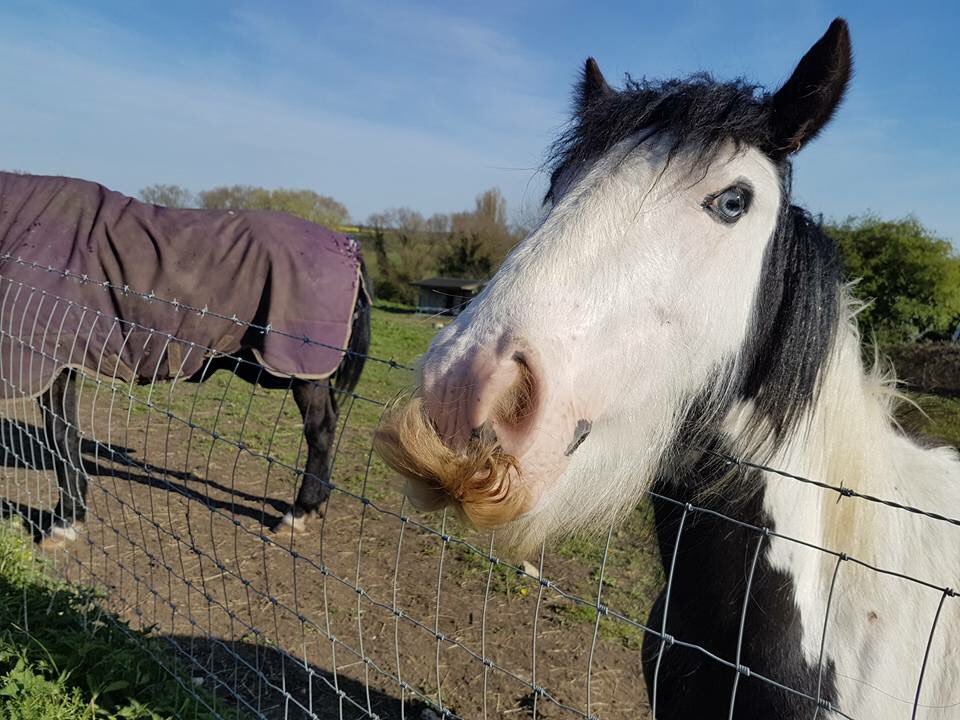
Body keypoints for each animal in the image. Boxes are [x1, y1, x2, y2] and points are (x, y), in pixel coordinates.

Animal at [0, 172, 368, 548]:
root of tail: (348, 245)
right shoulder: (62, 362)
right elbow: (65, 433)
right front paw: (71, 515)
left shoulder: (46, 359)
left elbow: (60, 435)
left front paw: (64, 522)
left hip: (300, 368)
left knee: (320, 428)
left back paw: (299, 512)